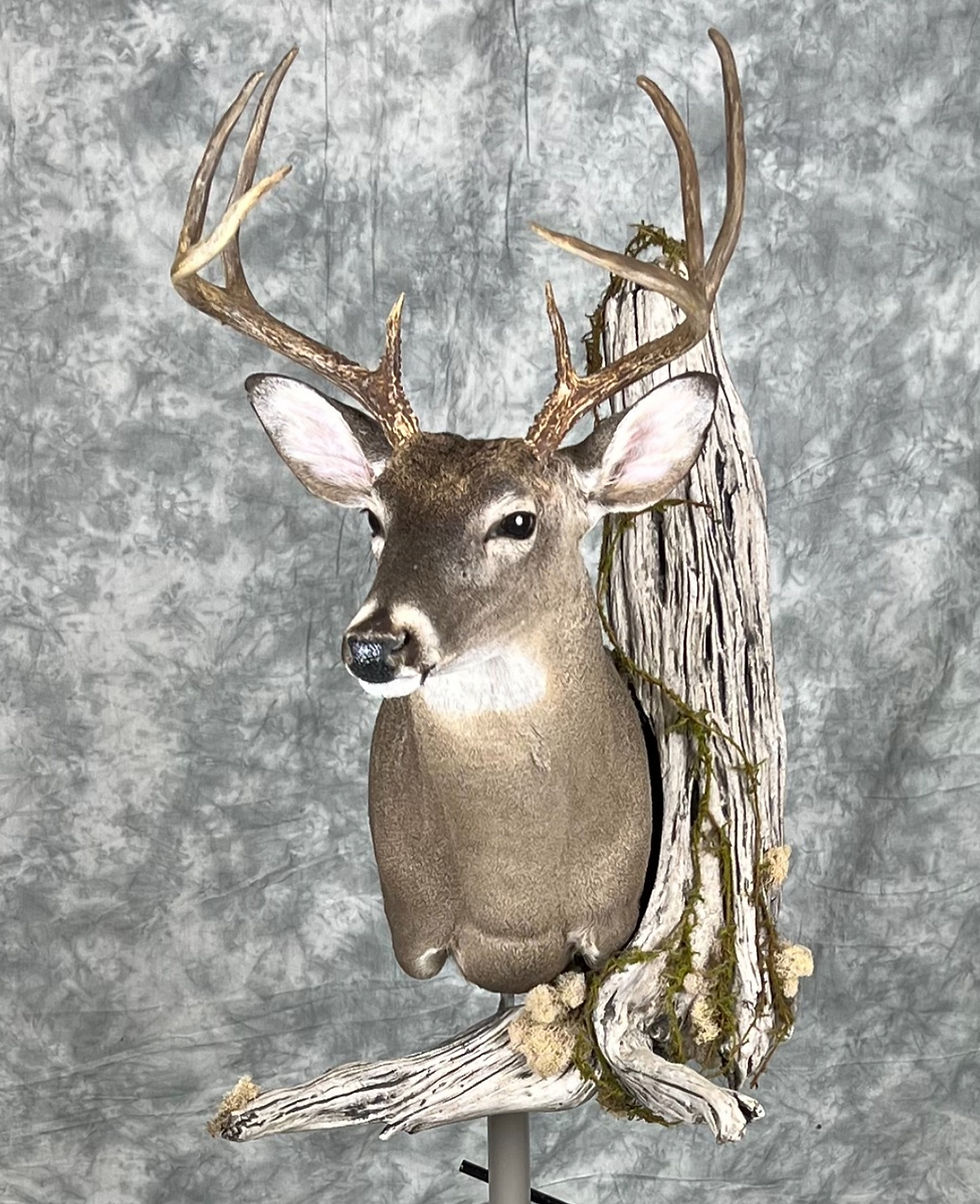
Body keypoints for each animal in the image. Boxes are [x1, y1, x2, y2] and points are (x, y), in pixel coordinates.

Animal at [170, 31, 744, 996]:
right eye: (374, 518)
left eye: (518, 521)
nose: (375, 645)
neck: (514, 900)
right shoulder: (420, 934)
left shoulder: (608, 925)